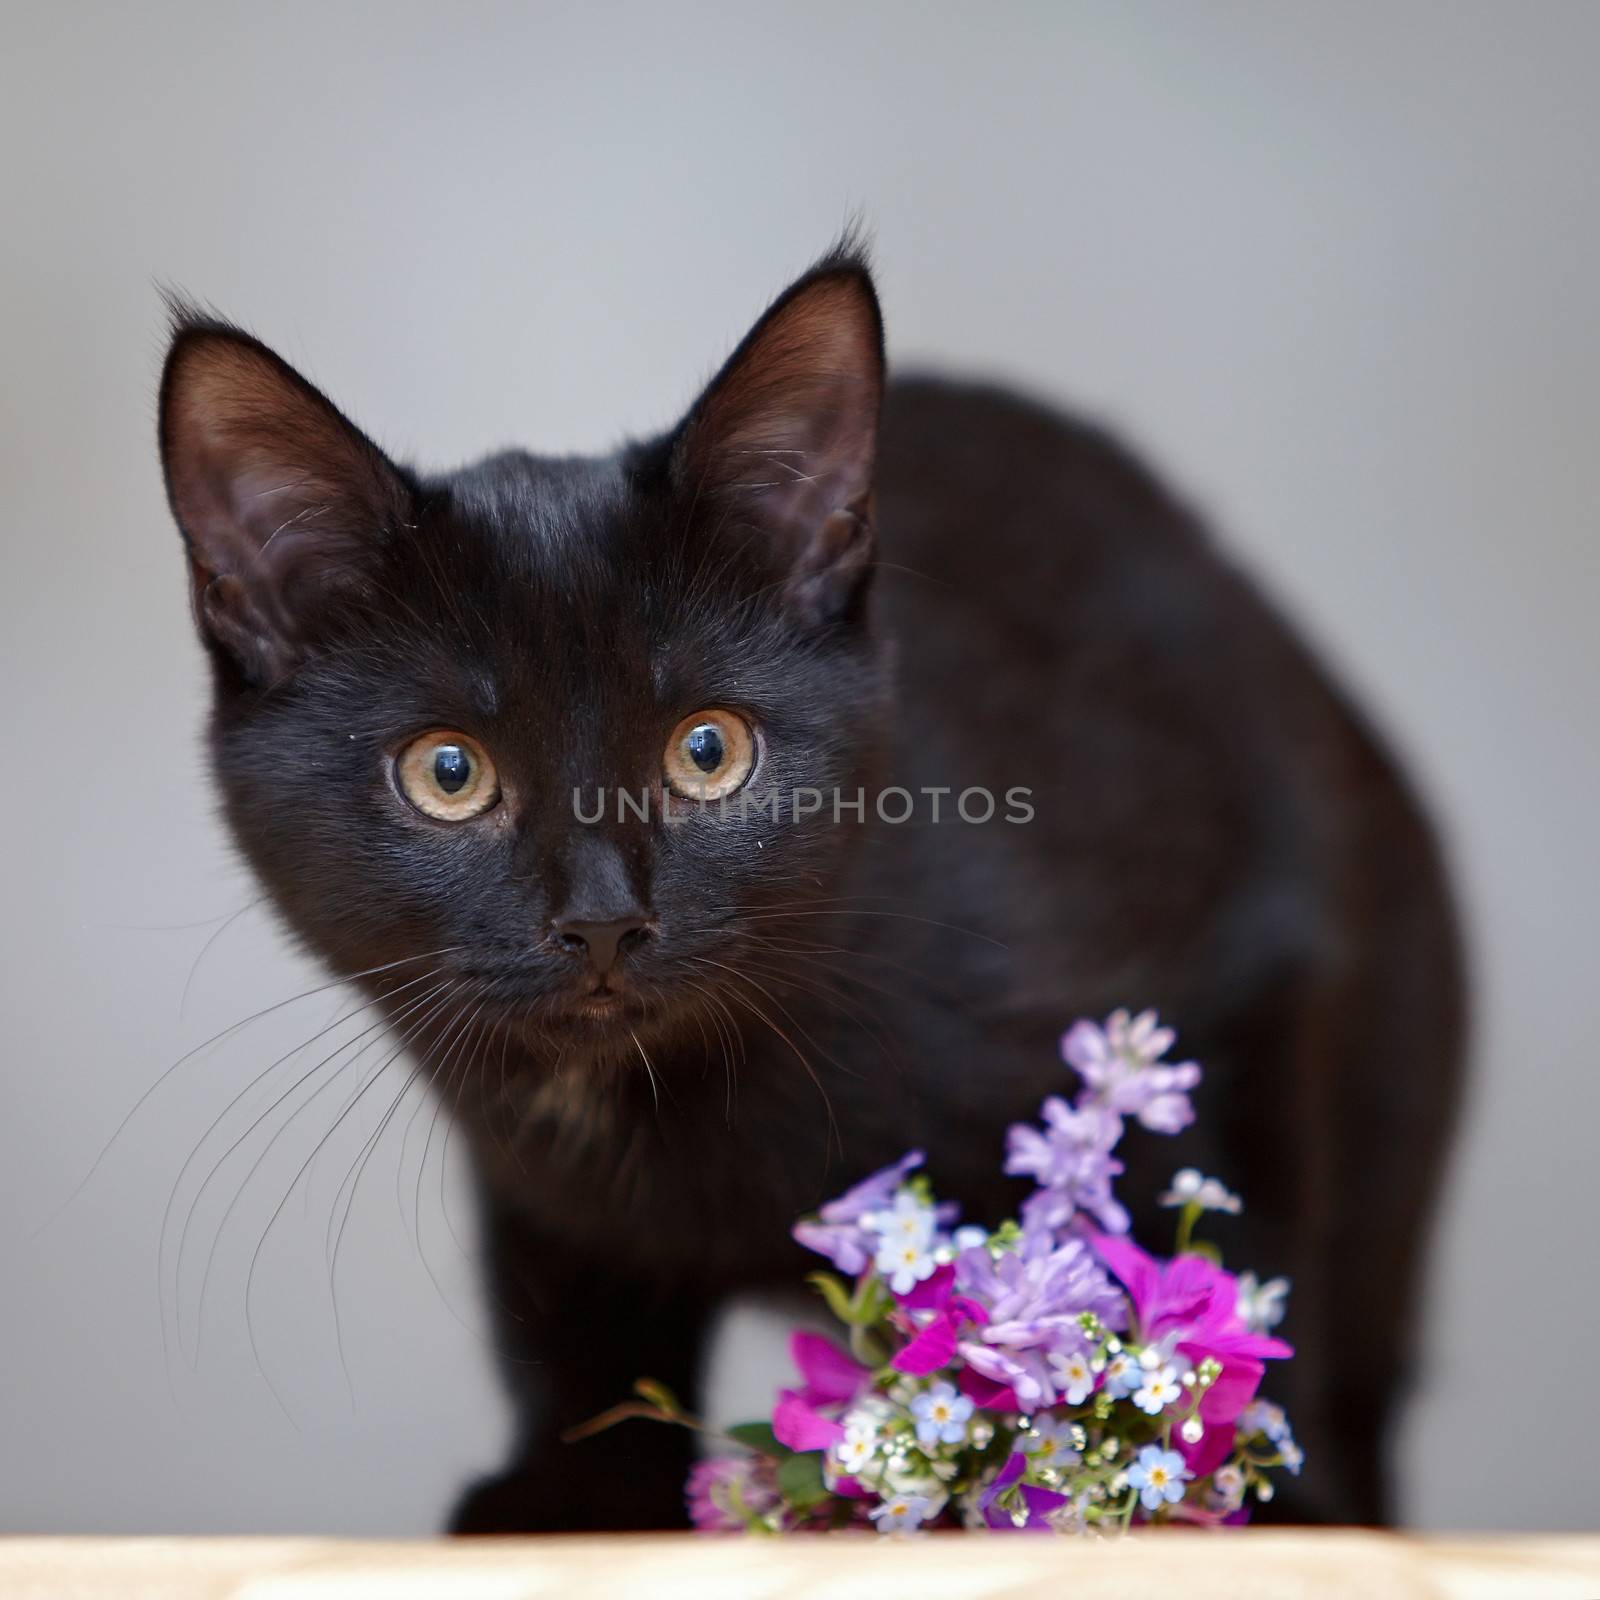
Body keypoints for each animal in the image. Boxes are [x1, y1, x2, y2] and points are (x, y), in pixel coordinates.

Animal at [159, 243, 1465, 1529]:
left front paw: (1260, 1492)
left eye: (707, 750)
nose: (602, 919)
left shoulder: (1247, 966)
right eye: (447, 771)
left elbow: (1242, 1259)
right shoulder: (539, 1192)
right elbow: (574, 1336)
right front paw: (565, 1488)